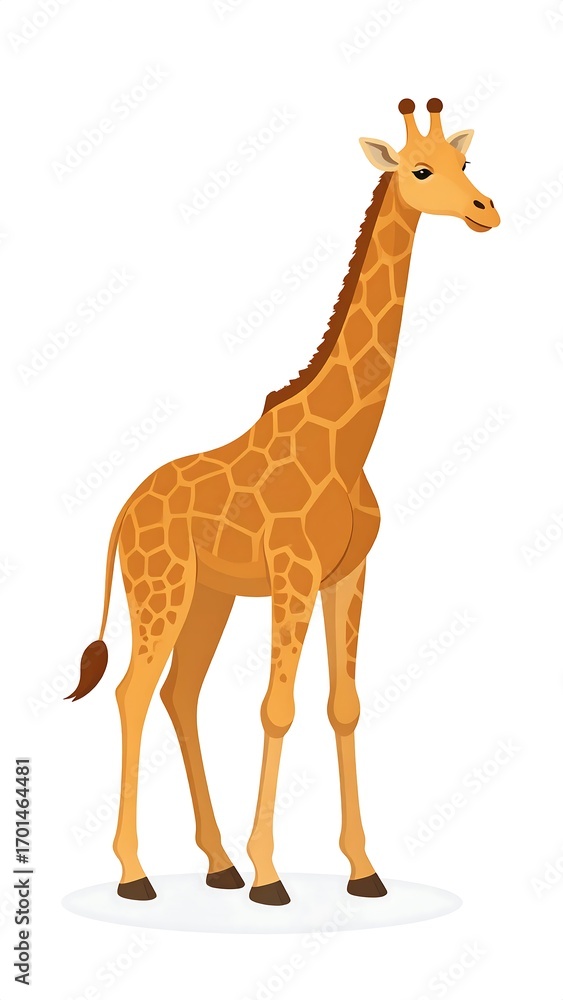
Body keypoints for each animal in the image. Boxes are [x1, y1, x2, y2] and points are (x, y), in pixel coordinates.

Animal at [67, 98, 500, 906]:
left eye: (467, 164)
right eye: (422, 170)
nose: (486, 211)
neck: (348, 443)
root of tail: (122, 513)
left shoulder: (346, 576)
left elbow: (343, 706)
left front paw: (362, 871)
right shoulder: (292, 574)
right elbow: (277, 708)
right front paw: (271, 876)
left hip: (209, 597)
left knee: (179, 694)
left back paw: (216, 864)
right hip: (161, 590)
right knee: (133, 693)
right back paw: (138, 874)